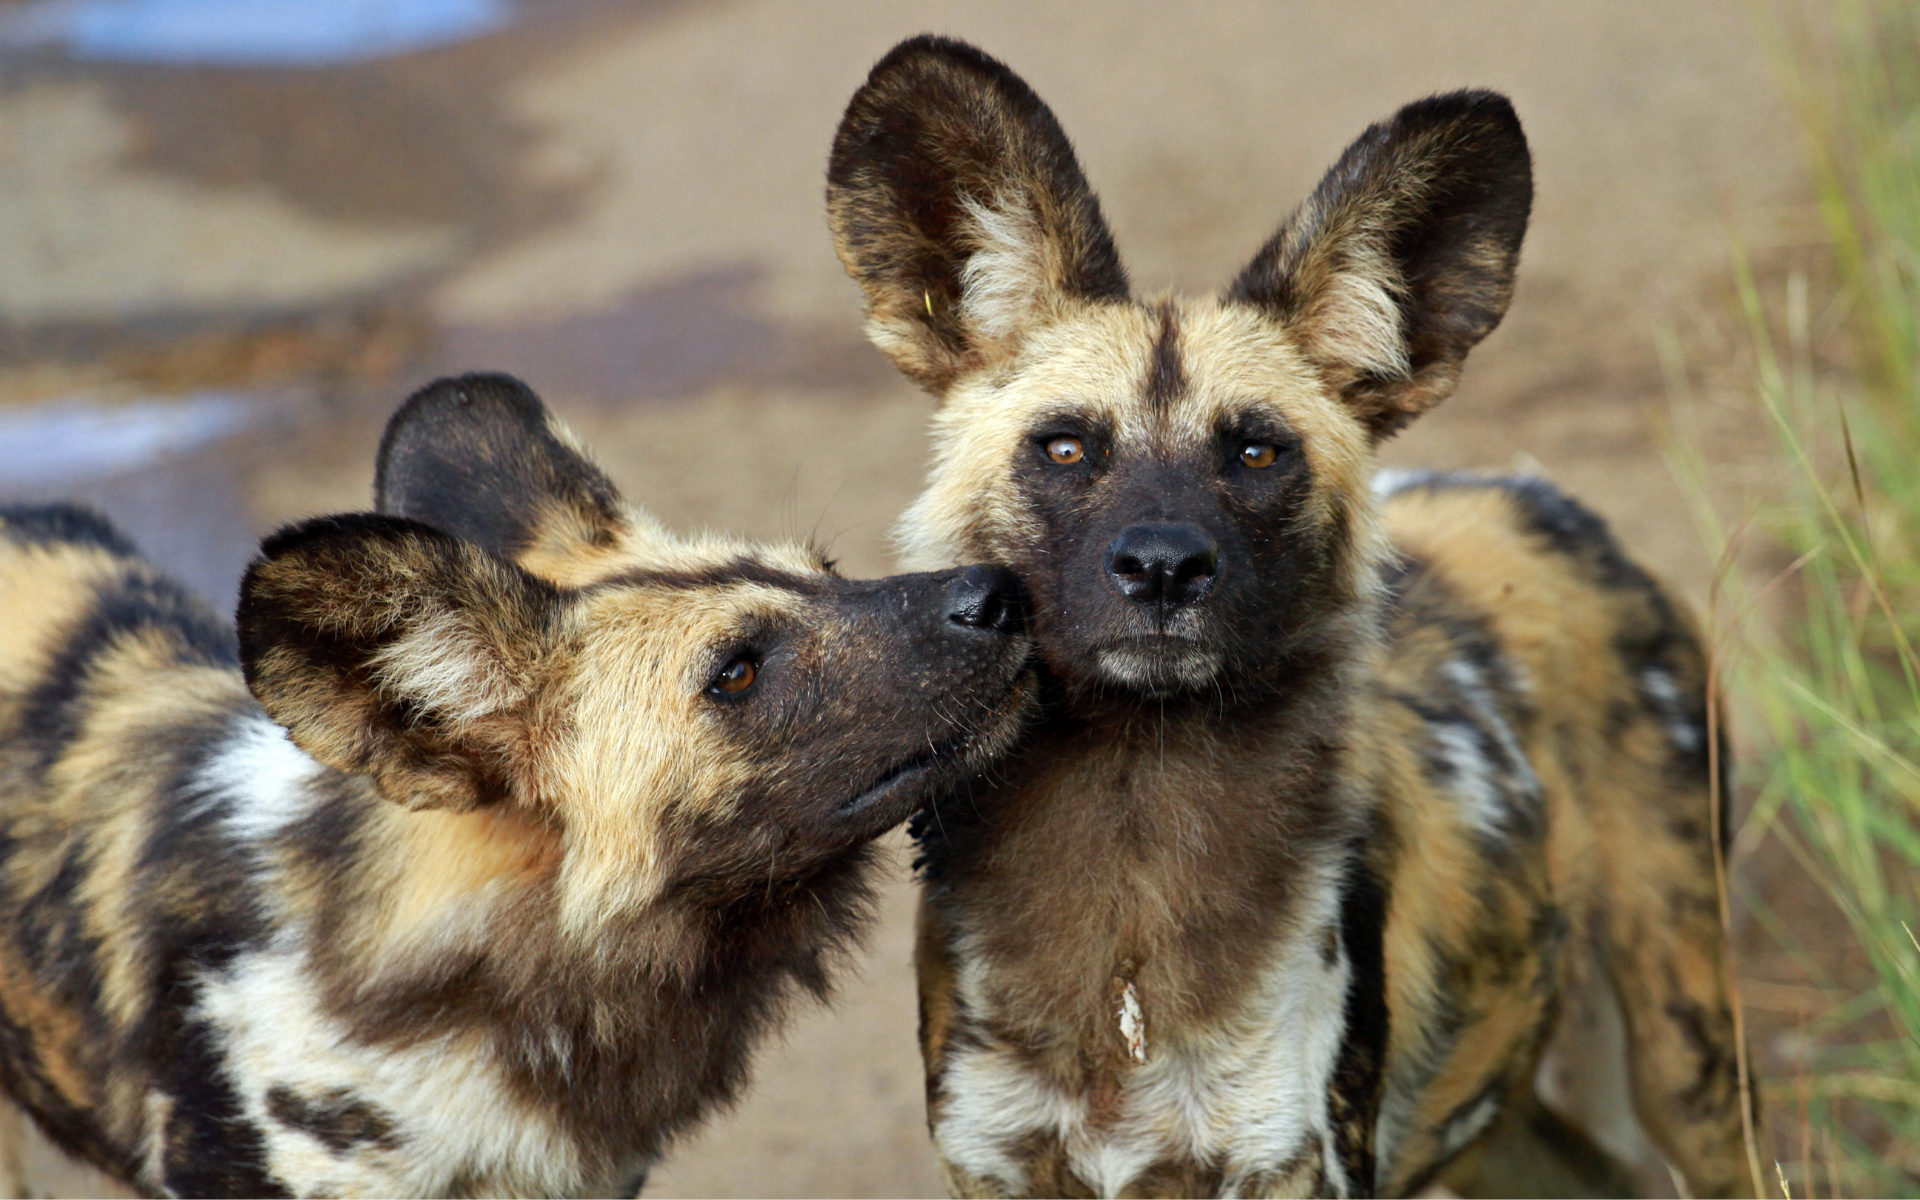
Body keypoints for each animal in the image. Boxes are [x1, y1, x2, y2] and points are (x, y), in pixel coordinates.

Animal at [825, 35, 1758, 1198]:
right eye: (1067, 448)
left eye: (1258, 453)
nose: (1163, 567)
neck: (1133, 842)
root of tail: (1542, 495)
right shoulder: (997, 1162)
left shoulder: (1290, 1160)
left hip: (1688, 1063)